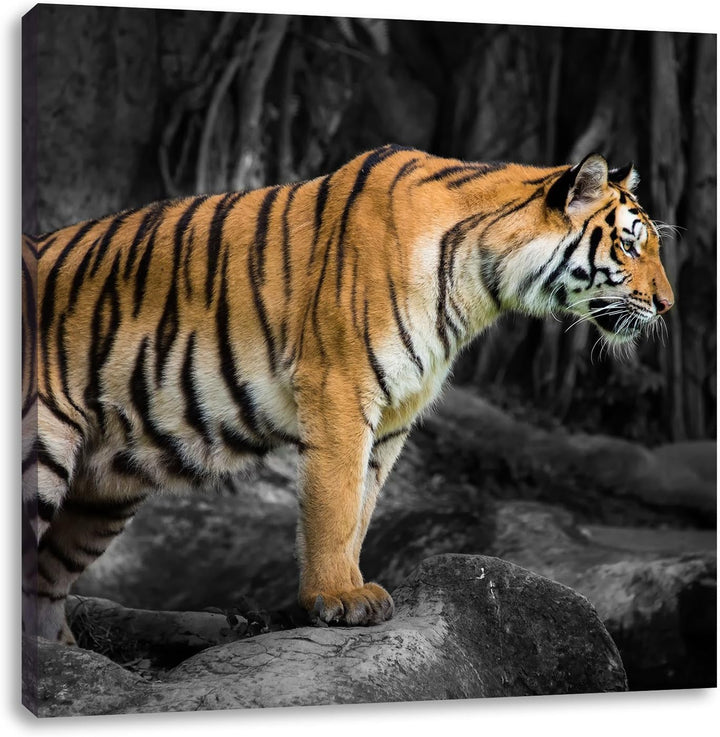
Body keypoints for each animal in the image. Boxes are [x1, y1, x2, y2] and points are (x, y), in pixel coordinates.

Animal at [22, 144, 674, 644]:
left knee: (44, 582)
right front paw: (338, 597)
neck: (481, 284)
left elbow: (363, 506)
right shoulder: (339, 387)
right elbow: (334, 502)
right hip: (41, 450)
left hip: (103, 495)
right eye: (630, 245)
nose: (667, 305)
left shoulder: (395, 415)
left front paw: (355, 585)